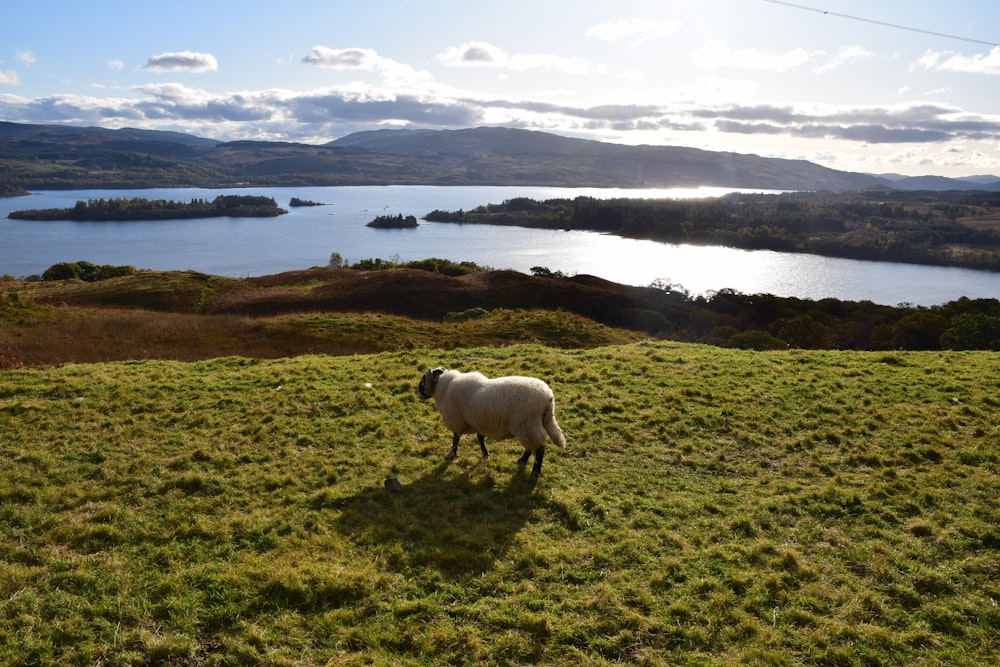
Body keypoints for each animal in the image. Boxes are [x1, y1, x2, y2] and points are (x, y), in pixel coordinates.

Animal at [418, 368, 568, 478]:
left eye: (423, 379)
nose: (417, 393)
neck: (445, 388)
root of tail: (548, 396)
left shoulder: (457, 421)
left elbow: (455, 439)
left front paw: (451, 454)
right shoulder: (479, 422)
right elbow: (480, 437)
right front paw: (485, 454)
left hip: (527, 425)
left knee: (539, 449)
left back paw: (535, 472)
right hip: (532, 425)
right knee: (531, 447)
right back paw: (522, 461)